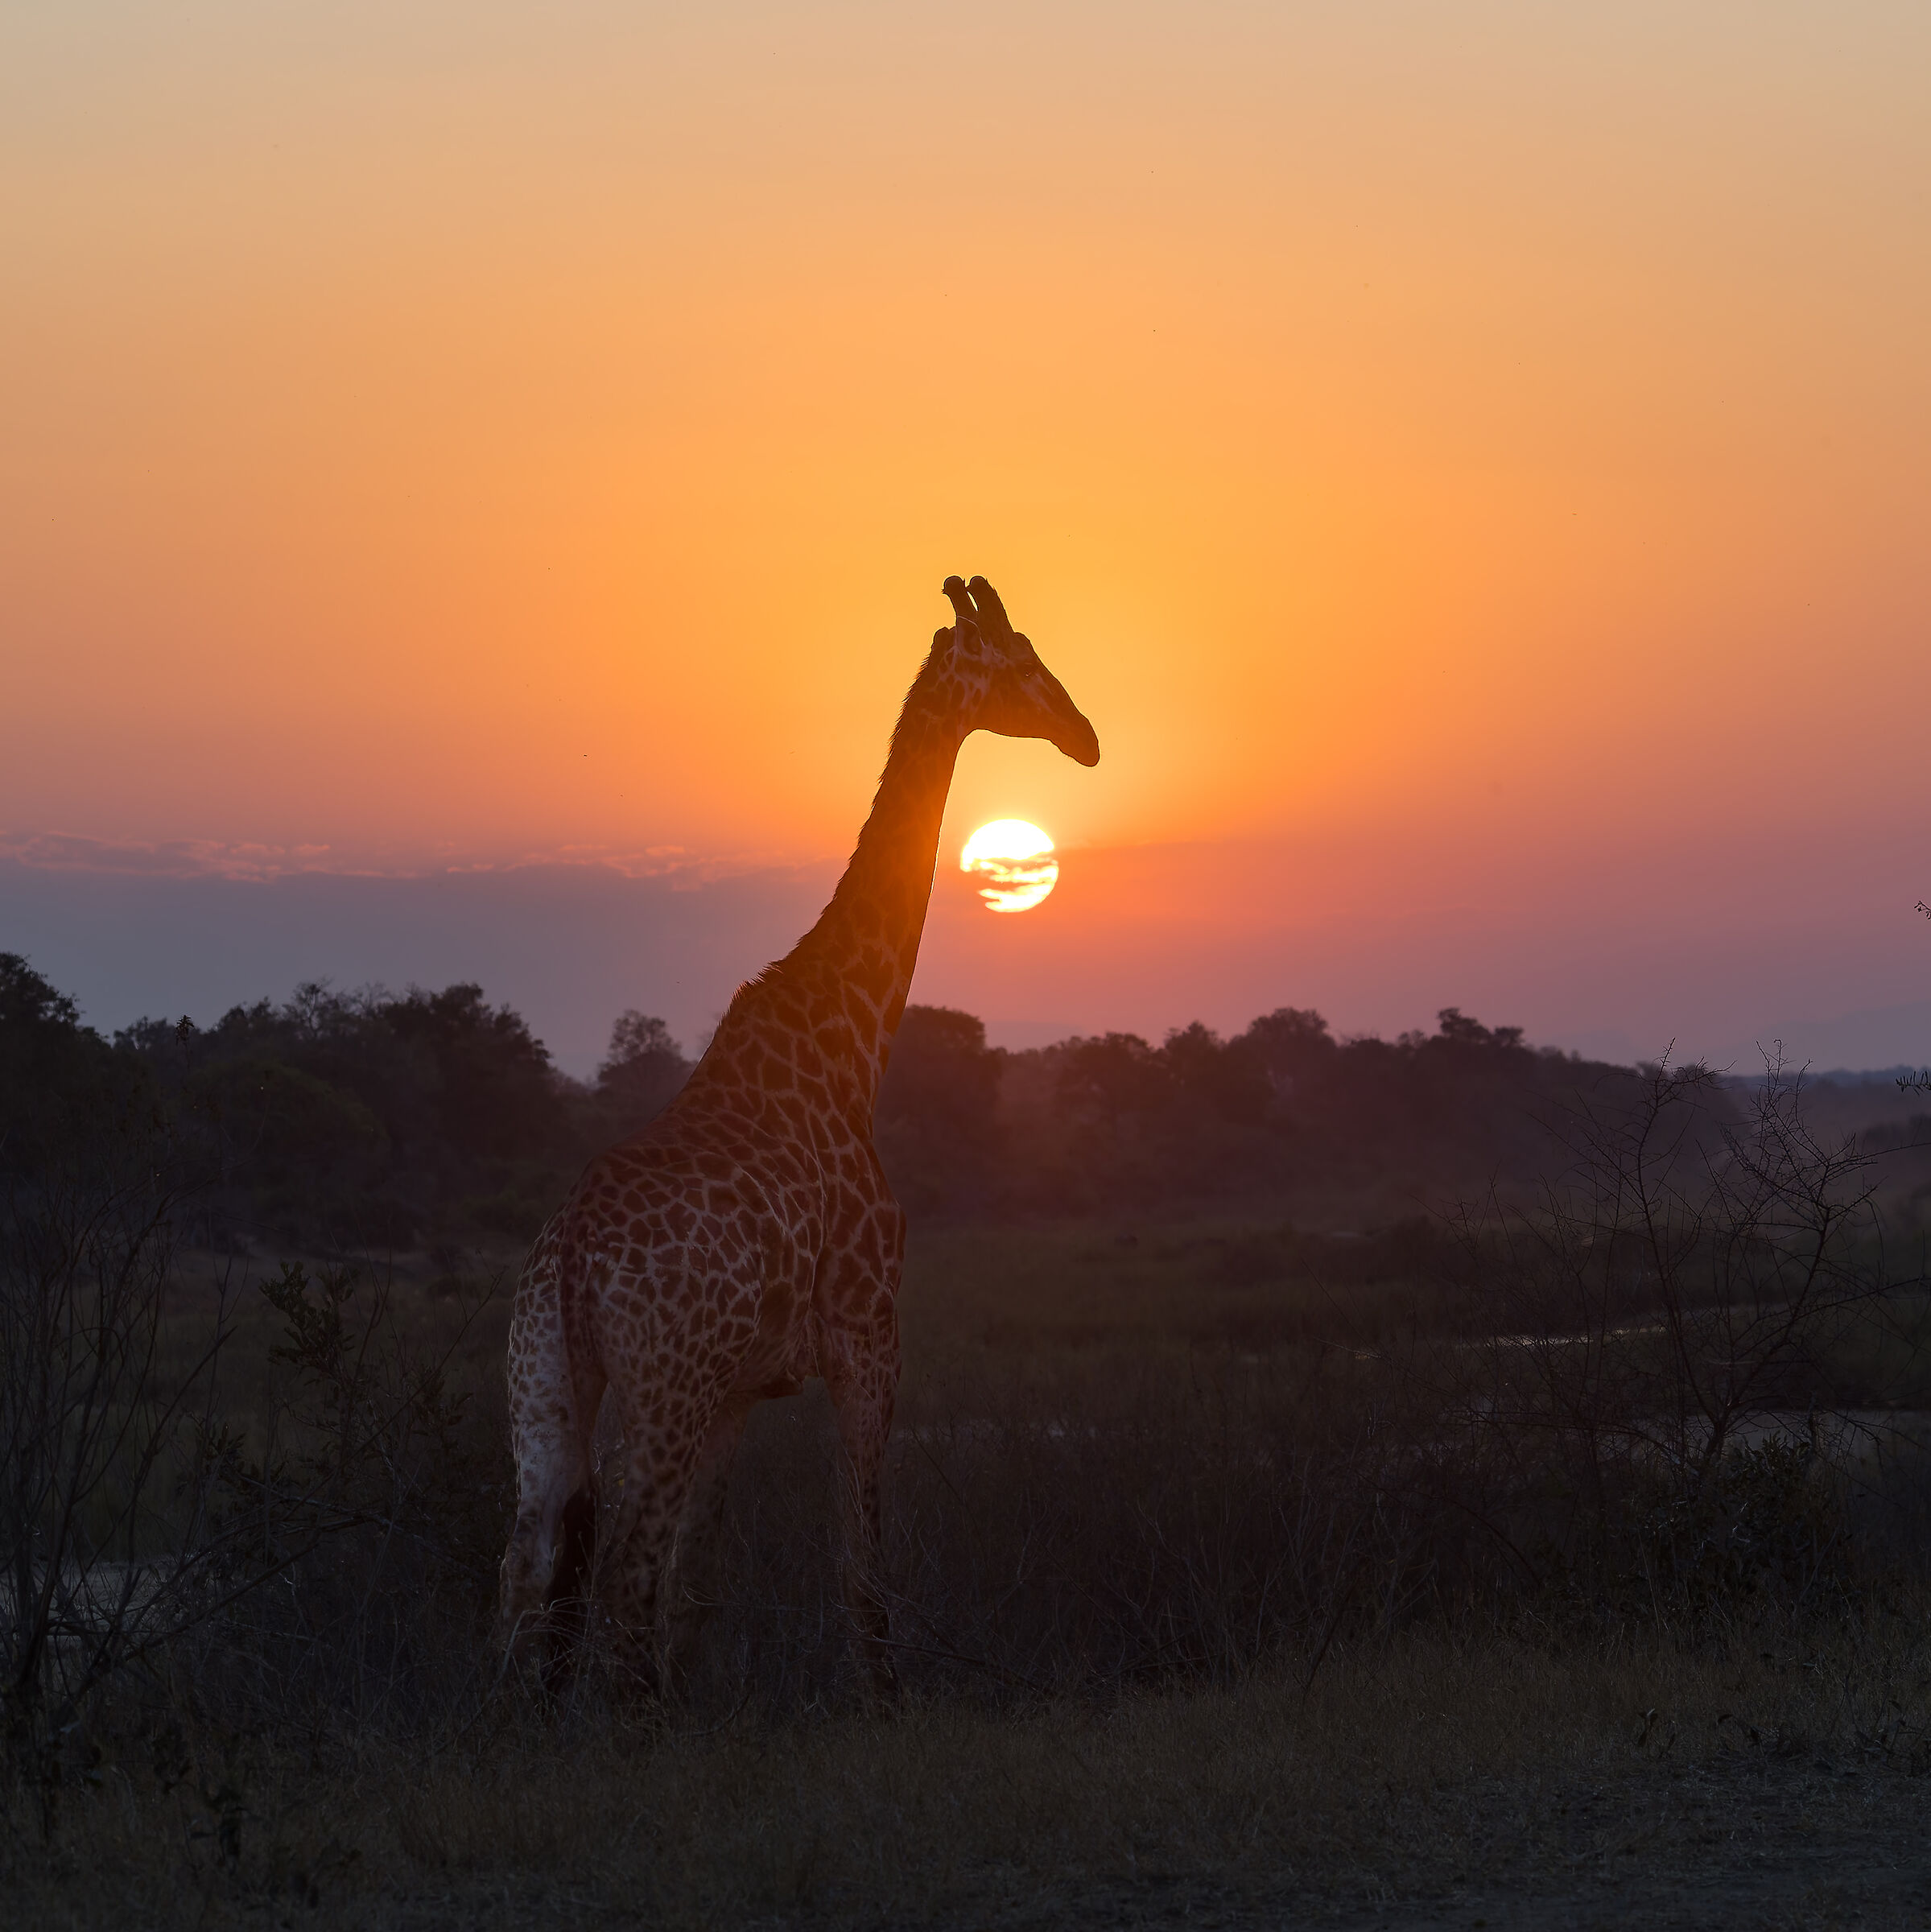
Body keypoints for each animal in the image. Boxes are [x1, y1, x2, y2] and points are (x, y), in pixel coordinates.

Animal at [497, 575, 1099, 1687]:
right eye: (1019, 658)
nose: (1084, 737)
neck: (851, 1040)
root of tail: (572, 1261)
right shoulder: (868, 1331)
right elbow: (861, 1561)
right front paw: (885, 1700)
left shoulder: (743, 1389)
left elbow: (701, 1591)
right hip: (663, 1388)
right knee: (622, 1582)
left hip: (544, 1390)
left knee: (527, 1577)